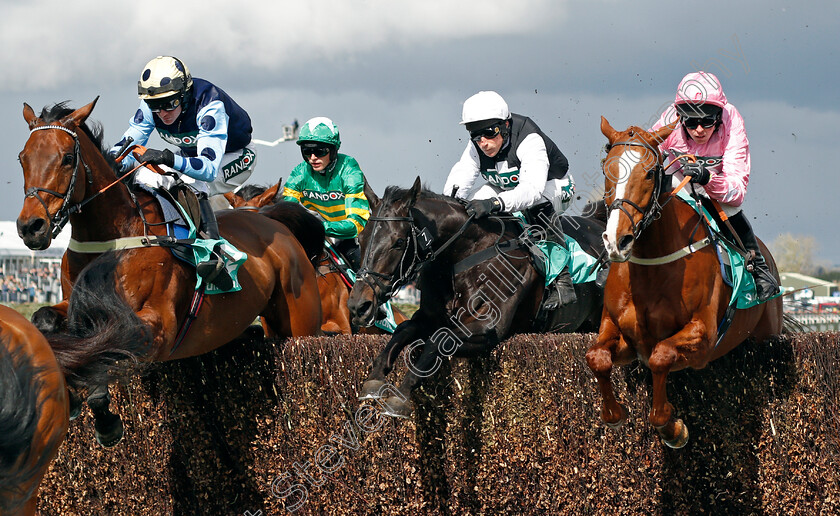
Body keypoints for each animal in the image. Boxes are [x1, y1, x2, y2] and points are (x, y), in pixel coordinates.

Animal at [17, 99, 324, 446]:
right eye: (23, 158)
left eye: (68, 158)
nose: (31, 227)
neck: (116, 236)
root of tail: (271, 219)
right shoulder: (73, 301)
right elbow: (48, 319)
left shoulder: (159, 325)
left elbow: (111, 339)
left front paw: (98, 409)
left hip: (299, 323)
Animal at [344, 175, 608, 418]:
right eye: (361, 238)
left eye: (398, 242)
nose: (359, 305)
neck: (464, 254)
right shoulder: (430, 316)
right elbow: (403, 329)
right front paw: (373, 380)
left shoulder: (488, 327)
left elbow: (437, 341)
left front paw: (400, 397)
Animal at [584, 117, 788, 448]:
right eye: (607, 170)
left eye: (650, 172)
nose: (617, 241)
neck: (653, 267)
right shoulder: (619, 332)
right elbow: (596, 357)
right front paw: (613, 414)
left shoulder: (703, 337)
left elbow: (661, 356)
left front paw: (672, 428)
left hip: (767, 333)